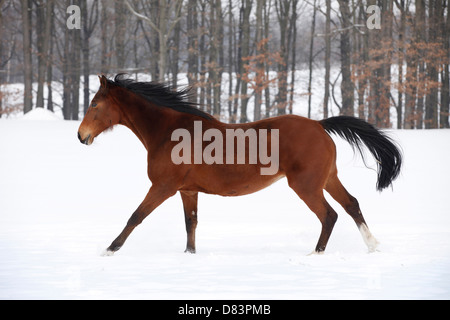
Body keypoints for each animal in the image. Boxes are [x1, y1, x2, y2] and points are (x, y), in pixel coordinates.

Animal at [76, 74, 400, 255]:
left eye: (94, 104)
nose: (81, 136)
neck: (169, 132)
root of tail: (320, 125)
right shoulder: (187, 190)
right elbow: (190, 223)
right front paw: (189, 255)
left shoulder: (163, 187)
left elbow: (135, 216)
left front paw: (109, 250)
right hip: (328, 178)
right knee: (352, 204)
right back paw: (373, 245)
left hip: (306, 186)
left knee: (329, 215)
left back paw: (316, 254)